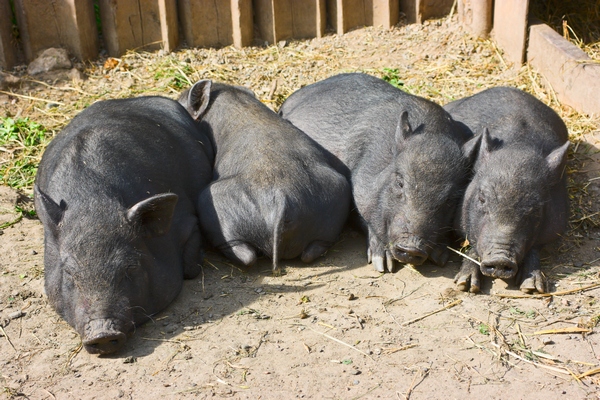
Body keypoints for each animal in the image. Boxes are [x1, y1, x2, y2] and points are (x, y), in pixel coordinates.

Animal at [34, 96, 213, 354]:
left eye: (130, 267)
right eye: (69, 273)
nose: (102, 334)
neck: (93, 200)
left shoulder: (187, 220)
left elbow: (189, 267)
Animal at [278, 72, 480, 272]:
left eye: (451, 199)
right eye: (399, 183)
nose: (412, 248)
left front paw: (440, 257)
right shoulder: (360, 187)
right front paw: (383, 265)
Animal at [448, 86, 568, 294]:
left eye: (535, 209)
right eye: (482, 199)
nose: (500, 259)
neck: (519, 147)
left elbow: (535, 248)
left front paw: (532, 288)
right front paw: (466, 285)